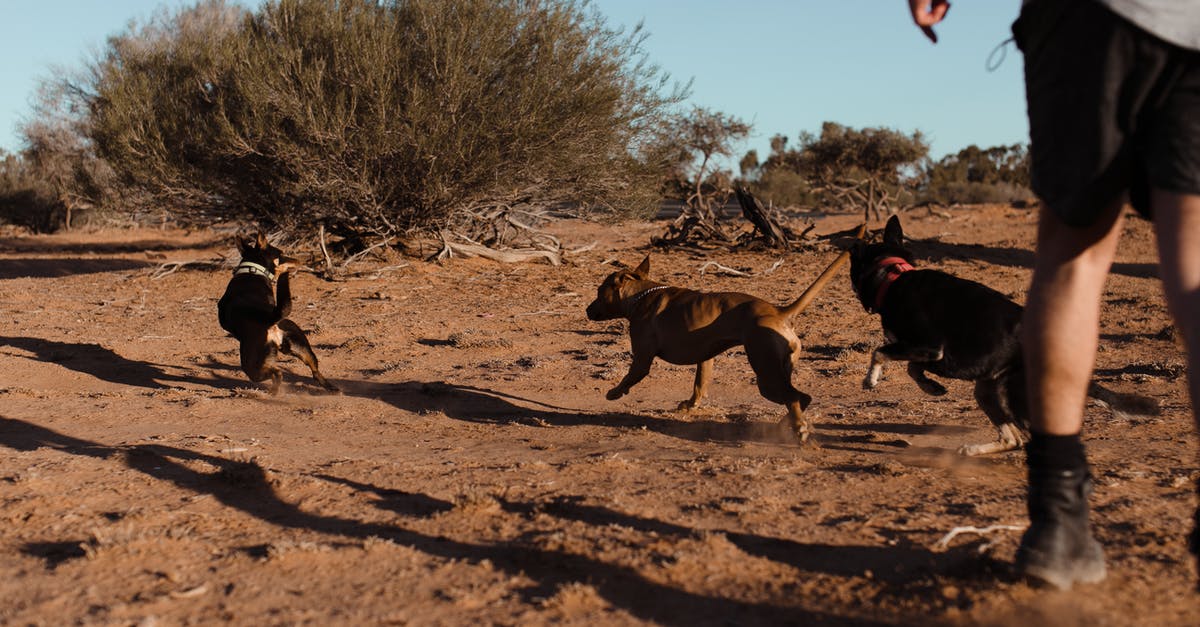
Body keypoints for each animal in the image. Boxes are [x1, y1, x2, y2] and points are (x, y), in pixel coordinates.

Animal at [585, 234, 859, 439]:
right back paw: (789, 425)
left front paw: (615, 393)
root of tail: (778, 311)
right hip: (779, 372)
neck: (641, 295)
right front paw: (690, 405)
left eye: (598, 292)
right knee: (802, 397)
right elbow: (699, 385)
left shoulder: (642, 359)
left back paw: (798, 429)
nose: (587, 310)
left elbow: (630, 377)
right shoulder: (705, 357)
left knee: (793, 397)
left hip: (766, 377)